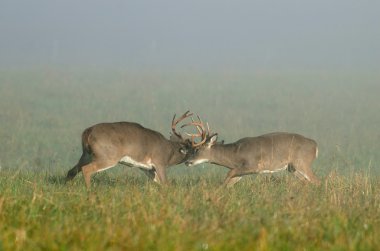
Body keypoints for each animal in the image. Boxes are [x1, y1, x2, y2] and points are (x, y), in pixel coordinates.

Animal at [65, 111, 194, 189]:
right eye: (194, 148)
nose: (191, 162)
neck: (170, 151)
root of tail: (87, 132)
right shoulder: (159, 163)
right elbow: (166, 184)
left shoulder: (147, 169)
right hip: (107, 157)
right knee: (86, 169)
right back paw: (89, 191)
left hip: (86, 155)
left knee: (71, 171)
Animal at [183, 118, 320, 187]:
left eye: (197, 149)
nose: (187, 161)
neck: (235, 155)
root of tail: (315, 145)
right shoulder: (240, 171)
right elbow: (229, 182)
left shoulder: (253, 165)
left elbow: (228, 175)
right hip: (292, 168)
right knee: (306, 182)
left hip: (302, 162)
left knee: (316, 181)